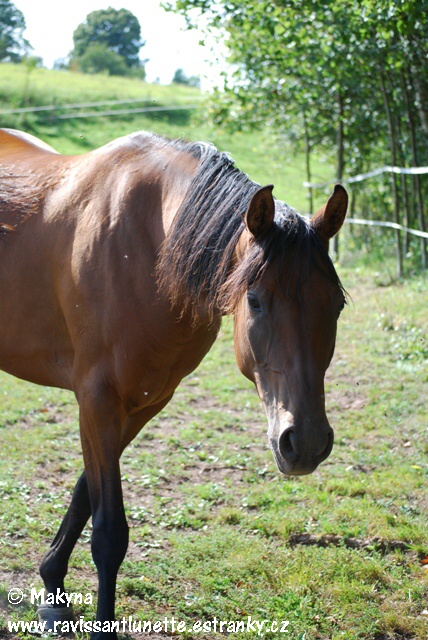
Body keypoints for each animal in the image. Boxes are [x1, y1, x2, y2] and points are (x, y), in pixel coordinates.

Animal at [0, 127, 348, 636]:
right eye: (255, 300)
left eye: (336, 305)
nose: (303, 443)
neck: (148, 248)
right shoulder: (97, 400)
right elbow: (109, 533)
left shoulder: (144, 402)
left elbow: (85, 494)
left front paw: (52, 588)